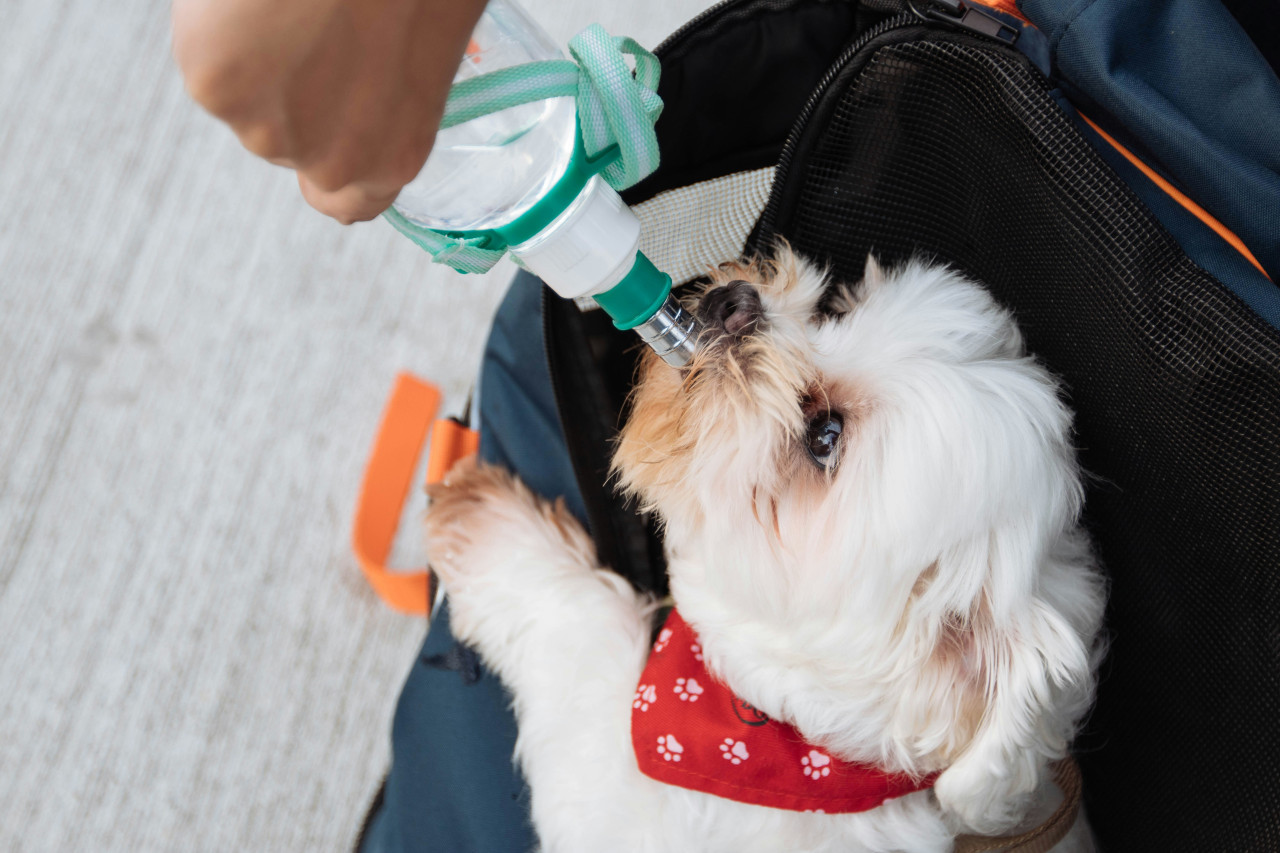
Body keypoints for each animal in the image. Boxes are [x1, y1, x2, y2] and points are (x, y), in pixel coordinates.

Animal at [424, 242, 1105, 845]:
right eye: (835, 309)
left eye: (825, 436)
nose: (735, 303)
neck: (773, 741)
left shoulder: (614, 797)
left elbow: (583, 634)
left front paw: (486, 520)